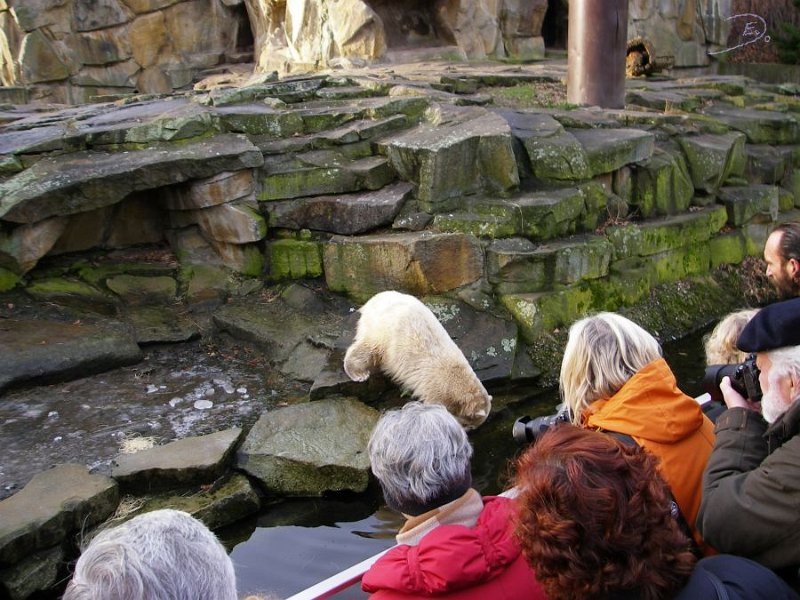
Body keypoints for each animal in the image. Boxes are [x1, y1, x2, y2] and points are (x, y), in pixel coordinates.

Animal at [346, 292, 494, 428]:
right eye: (468, 424)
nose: (468, 430)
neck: (456, 380)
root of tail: (375, 299)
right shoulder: (437, 389)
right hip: (386, 332)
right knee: (370, 348)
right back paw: (358, 373)